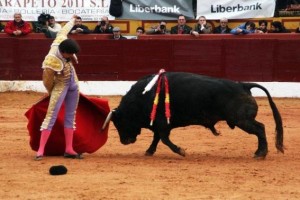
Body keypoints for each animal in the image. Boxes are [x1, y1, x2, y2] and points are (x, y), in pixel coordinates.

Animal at [105, 72, 284, 158]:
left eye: (120, 123)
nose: (124, 141)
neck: (142, 97)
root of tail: (243, 85)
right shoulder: (159, 124)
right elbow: (157, 138)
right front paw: (149, 151)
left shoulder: (162, 124)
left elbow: (164, 139)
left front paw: (181, 151)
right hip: (242, 120)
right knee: (260, 129)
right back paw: (259, 152)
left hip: (242, 120)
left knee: (260, 129)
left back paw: (260, 154)